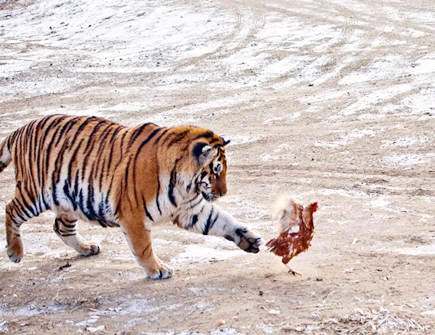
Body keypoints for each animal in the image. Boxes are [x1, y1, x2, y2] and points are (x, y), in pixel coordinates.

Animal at [0, 114, 260, 280]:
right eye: (216, 170)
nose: (223, 192)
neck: (185, 185)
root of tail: (17, 131)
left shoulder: (191, 209)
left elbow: (222, 221)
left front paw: (249, 239)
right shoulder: (133, 215)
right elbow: (143, 247)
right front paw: (158, 270)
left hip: (68, 198)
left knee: (61, 227)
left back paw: (86, 248)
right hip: (35, 193)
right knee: (10, 209)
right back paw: (15, 253)